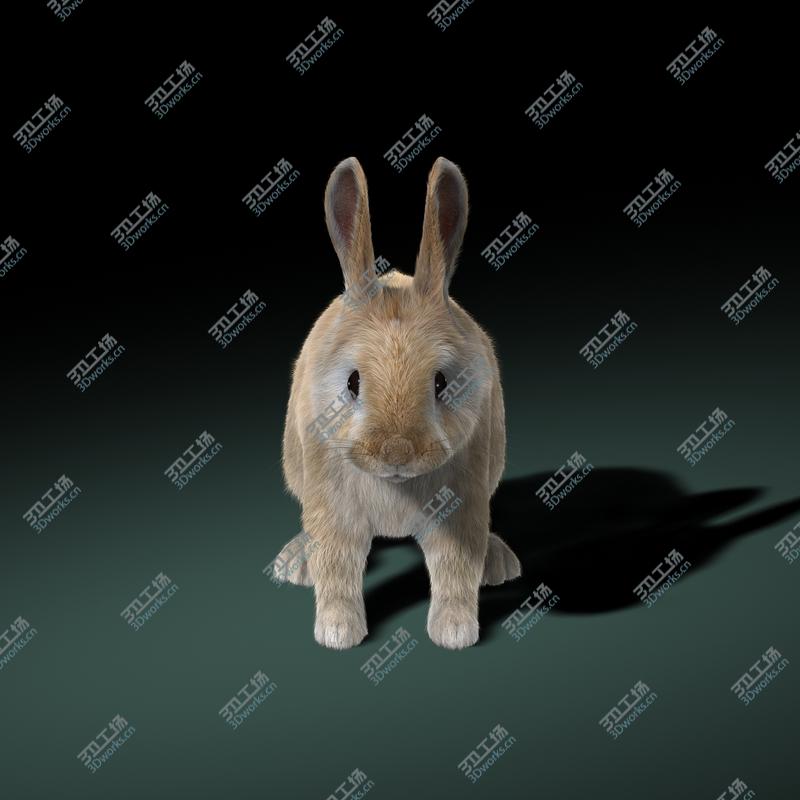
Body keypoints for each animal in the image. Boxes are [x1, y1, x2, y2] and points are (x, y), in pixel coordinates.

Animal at [273, 155, 520, 649]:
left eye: (442, 382)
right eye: (352, 382)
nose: (397, 452)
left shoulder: (462, 502)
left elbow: (455, 568)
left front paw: (455, 632)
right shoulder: (331, 504)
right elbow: (336, 565)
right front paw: (338, 632)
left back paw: (498, 562)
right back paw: (295, 562)